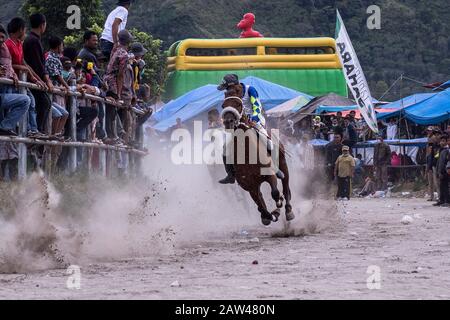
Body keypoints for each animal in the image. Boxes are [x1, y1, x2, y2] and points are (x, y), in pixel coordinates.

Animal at [221, 86, 296, 224]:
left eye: (238, 104)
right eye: (223, 105)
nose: (228, 121)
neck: (247, 154)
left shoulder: (270, 175)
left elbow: (275, 193)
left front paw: (279, 205)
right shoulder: (250, 187)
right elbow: (262, 208)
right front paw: (272, 215)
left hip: (283, 164)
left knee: (285, 186)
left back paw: (288, 210)